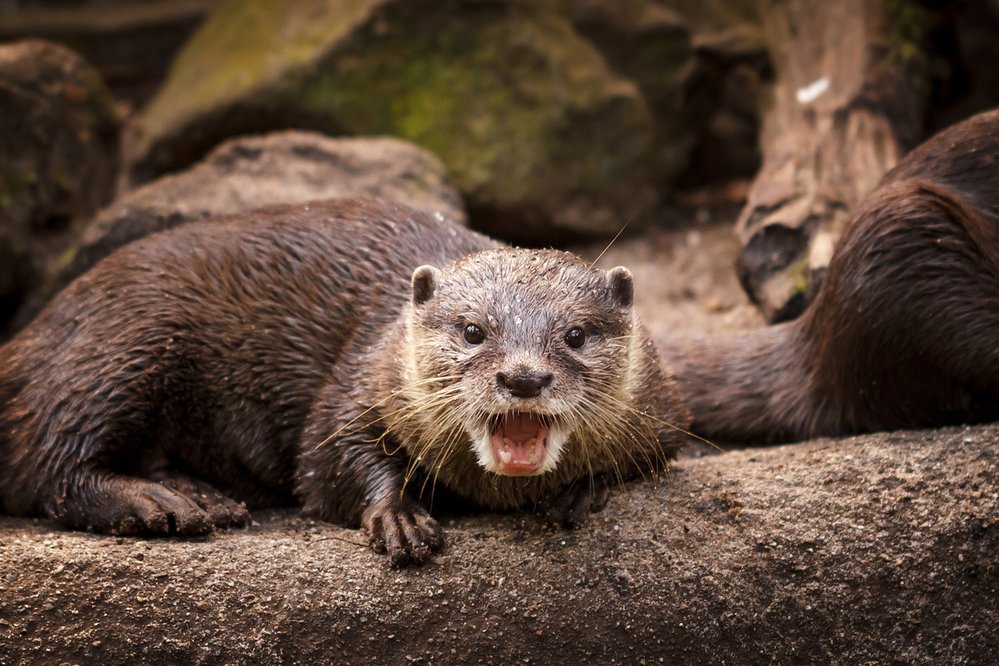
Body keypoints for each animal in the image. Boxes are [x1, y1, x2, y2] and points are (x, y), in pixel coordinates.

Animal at [0, 198, 688, 564]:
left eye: (574, 335)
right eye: (473, 329)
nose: (523, 376)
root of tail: (34, 331)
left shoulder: (663, 411)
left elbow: (652, 455)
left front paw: (580, 492)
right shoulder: (359, 381)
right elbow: (328, 461)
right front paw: (399, 518)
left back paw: (198, 496)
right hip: (120, 347)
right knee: (51, 460)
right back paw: (160, 505)